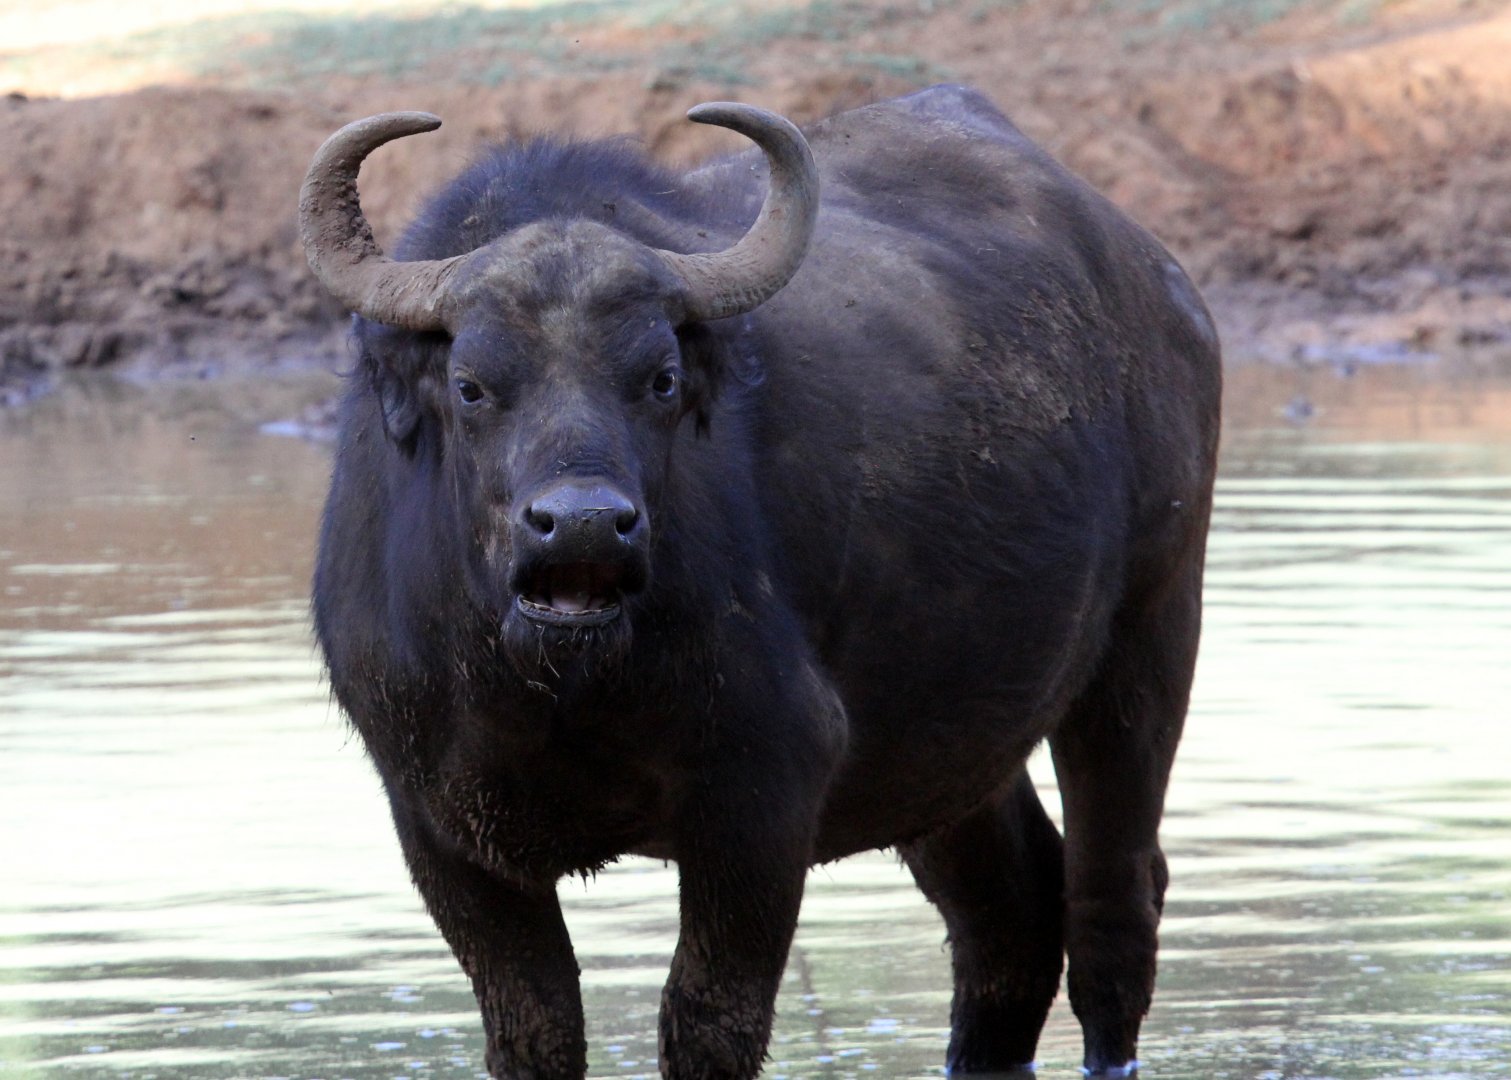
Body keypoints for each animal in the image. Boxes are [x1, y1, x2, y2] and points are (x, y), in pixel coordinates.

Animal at [301, 85, 1220, 1079]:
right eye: (471, 385)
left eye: (659, 379)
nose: (584, 522)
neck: (558, 687)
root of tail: (1158, 282)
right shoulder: (440, 828)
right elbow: (535, 1027)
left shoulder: (761, 799)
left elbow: (710, 1021)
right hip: (943, 739)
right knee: (1009, 910)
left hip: (1151, 629)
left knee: (1112, 896)